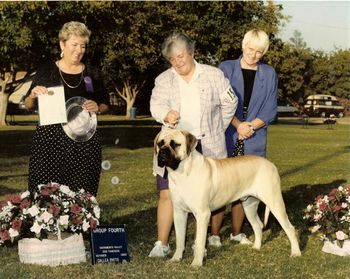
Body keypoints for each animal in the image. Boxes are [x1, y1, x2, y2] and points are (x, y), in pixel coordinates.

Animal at [154, 129, 302, 266]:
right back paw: (256, 247)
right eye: (160, 143)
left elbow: (200, 241)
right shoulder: (179, 213)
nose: (162, 152)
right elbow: (180, 239)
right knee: (257, 226)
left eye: (175, 144)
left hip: (275, 203)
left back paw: (296, 253)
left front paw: (196, 263)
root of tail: (271, 164)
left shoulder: (202, 214)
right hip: (249, 206)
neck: (182, 172)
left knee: (289, 228)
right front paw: (176, 258)